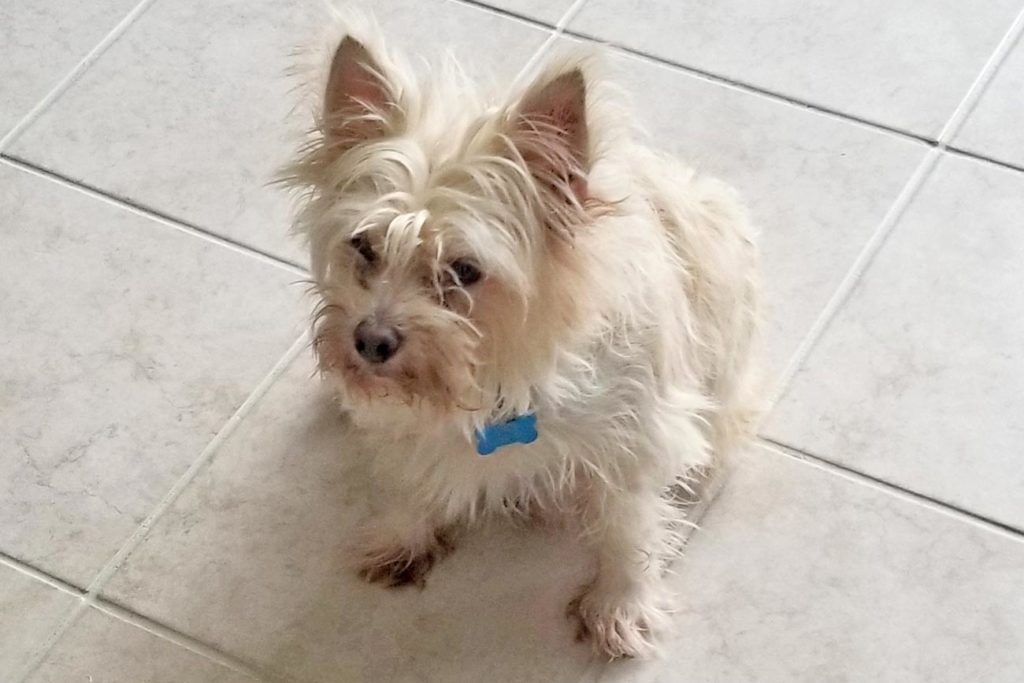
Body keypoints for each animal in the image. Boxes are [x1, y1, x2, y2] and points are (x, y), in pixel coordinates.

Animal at [282, 12, 761, 663]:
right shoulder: (404, 422)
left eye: (464, 271)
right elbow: (409, 479)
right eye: (364, 246)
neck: (499, 381)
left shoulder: (636, 440)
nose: (370, 342)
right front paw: (403, 536)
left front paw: (618, 606)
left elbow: (627, 528)